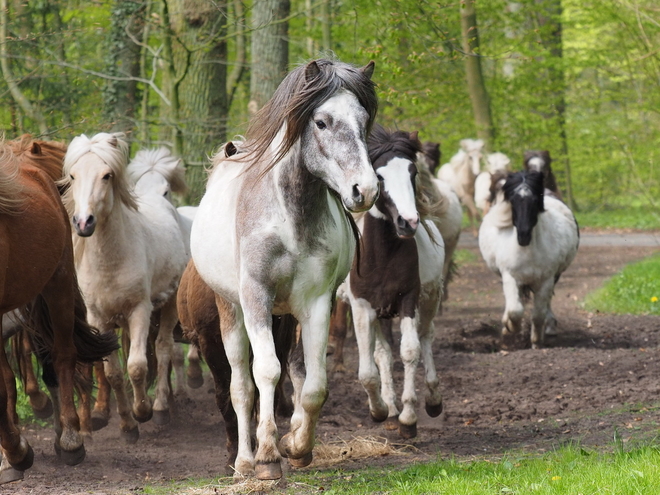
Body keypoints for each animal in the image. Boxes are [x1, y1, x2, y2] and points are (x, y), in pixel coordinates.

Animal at [60, 133, 188, 446]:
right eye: (73, 175)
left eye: (107, 175)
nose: (83, 222)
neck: (111, 261)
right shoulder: (99, 319)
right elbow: (114, 373)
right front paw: (128, 425)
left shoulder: (140, 311)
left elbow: (137, 366)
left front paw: (143, 412)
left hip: (168, 306)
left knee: (164, 348)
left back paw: (161, 407)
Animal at [188, 58, 378, 480]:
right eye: (321, 122)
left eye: (363, 120)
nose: (366, 190)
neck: (290, 219)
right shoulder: (256, 298)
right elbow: (265, 375)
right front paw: (267, 458)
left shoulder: (316, 302)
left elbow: (314, 384)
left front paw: (296, 446)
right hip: (231, 311)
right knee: (241, 386)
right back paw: (244, 460)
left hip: (287, 316)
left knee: (295, 372)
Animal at [338, 126, 446, 440]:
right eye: (380, 175)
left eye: (413, 172)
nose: (408, 222)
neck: (383, 256)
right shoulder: (362, 308)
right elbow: (368, 369)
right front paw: (380, 410)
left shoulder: (408, 299)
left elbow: (410, 351)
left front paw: (409, 419)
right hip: (380, 314)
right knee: (383, 354)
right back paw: (389, 405)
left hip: (430, 299)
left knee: (426, 337)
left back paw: (432, 400)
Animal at [480, 170, 576, 348]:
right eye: (512, 200)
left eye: (535, 200)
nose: (523, 236)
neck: (527, 251)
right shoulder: (510, 277)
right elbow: (515, 310)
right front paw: (509, 328)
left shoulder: (546, 280)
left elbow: (538, 314)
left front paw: (536, 341)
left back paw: (550, 327)